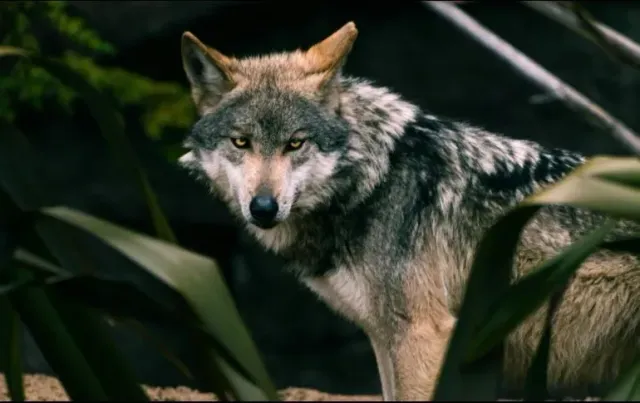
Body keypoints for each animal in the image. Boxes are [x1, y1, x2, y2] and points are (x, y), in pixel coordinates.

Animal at [177, 21, 640, 400]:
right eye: (241, 142)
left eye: (296, 143)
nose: (263, 208)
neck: (373, 179)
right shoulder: (384, 337)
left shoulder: (422, 334)